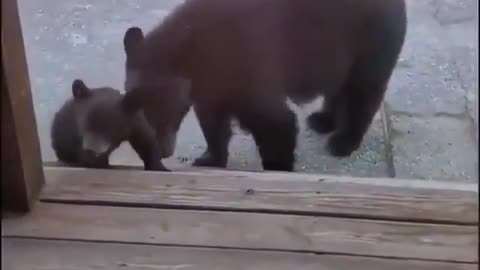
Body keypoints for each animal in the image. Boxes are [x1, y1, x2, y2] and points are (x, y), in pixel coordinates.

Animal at [123, 0, 404, 172]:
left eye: (159, 111)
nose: (162, 151)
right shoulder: (210, 88)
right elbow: (213, 123)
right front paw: (209, 159)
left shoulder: (248, 63)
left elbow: (275, 121)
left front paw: (278, 167)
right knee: (338, 87)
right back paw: (323, 120)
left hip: (370, 41)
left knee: (362, 91)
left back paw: (343, 141)